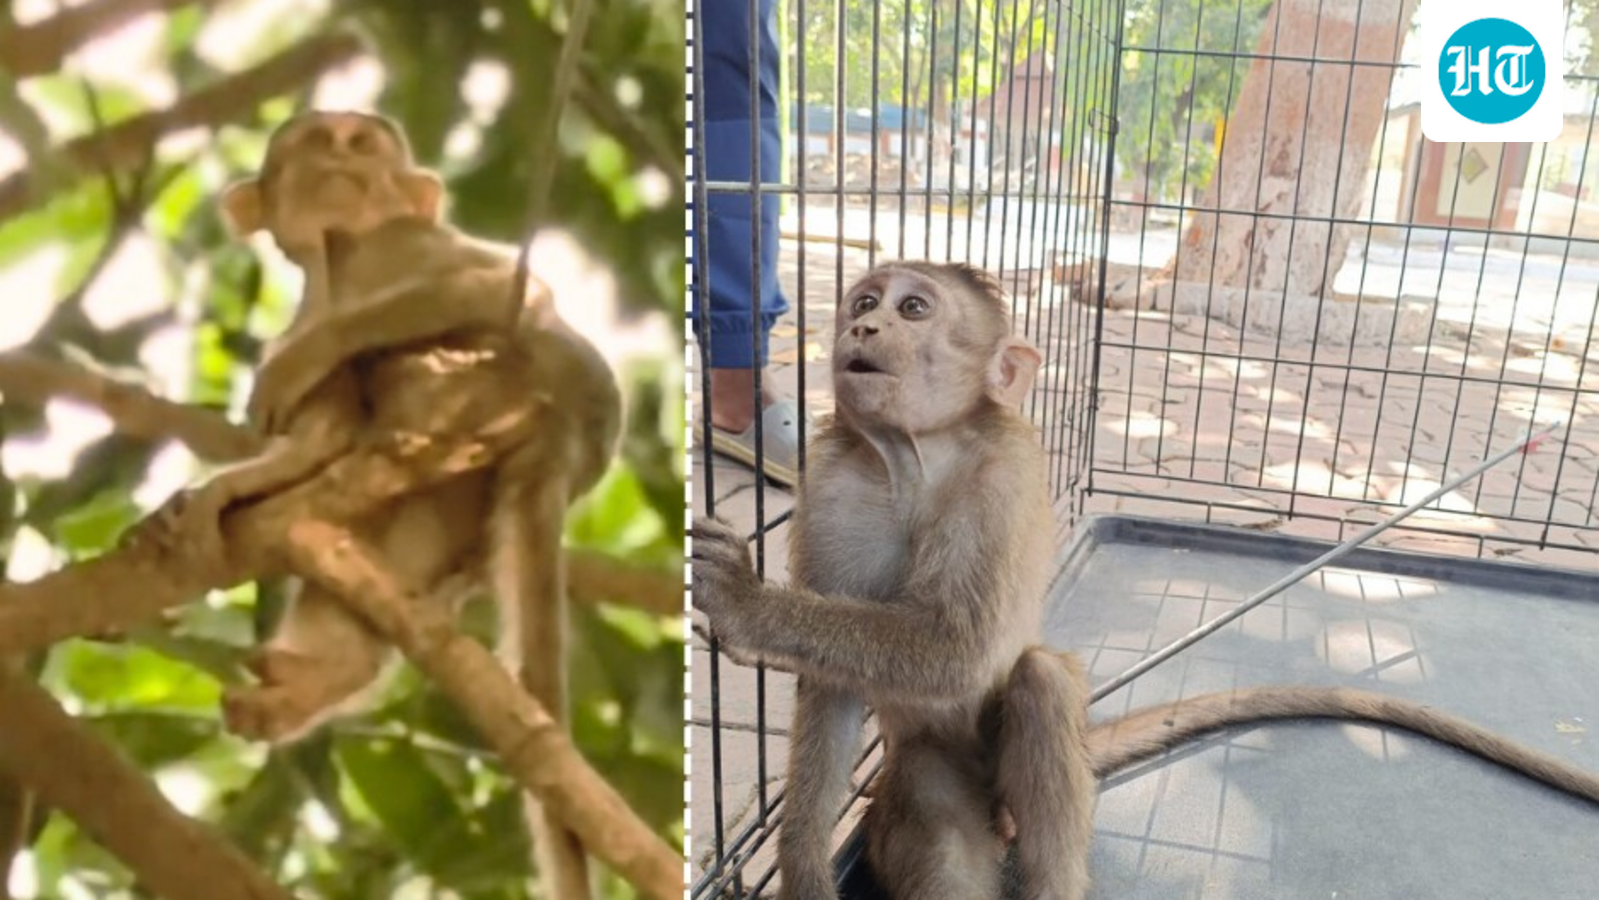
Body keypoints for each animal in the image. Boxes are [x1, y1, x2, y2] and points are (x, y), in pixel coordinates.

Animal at [175, 111, 620, 900]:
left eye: (365, 141)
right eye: (313, 137)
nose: (342, 146)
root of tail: (571, 441)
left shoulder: (399, 244)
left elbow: (507, 288)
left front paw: (308, 357)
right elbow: (319, 428)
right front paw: (236, 484)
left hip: (498, 390)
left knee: (435, 349)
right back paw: (318, 680)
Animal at [690, 260, 1599, 900]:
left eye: (914, 309)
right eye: (864, 300)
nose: (863, 323)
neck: (916, 459)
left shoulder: (1004, 476)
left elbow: (962, 647)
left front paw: (747, 604)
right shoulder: (835, 483)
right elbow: (832, 693)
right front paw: (801, 868)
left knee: (1040, 682)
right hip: (938, 776)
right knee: (935, 815)